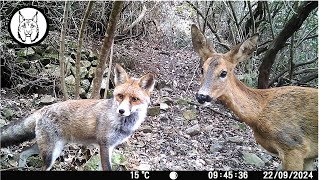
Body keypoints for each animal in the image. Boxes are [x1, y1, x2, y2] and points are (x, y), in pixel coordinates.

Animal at [0, 64, 155, 171]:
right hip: (51, 153)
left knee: (23, 152)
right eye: (120, 96)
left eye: (134, 99)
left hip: (49, 147)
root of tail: (42, 109)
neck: (122, 123)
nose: (121, 111)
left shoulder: (110, 147)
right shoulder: (104, 145)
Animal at [190, 24, 318, 172]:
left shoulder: (293, 146)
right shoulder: (308, 156)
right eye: (202, 69)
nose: (202, 96)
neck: (259, 114)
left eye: (223, 73)